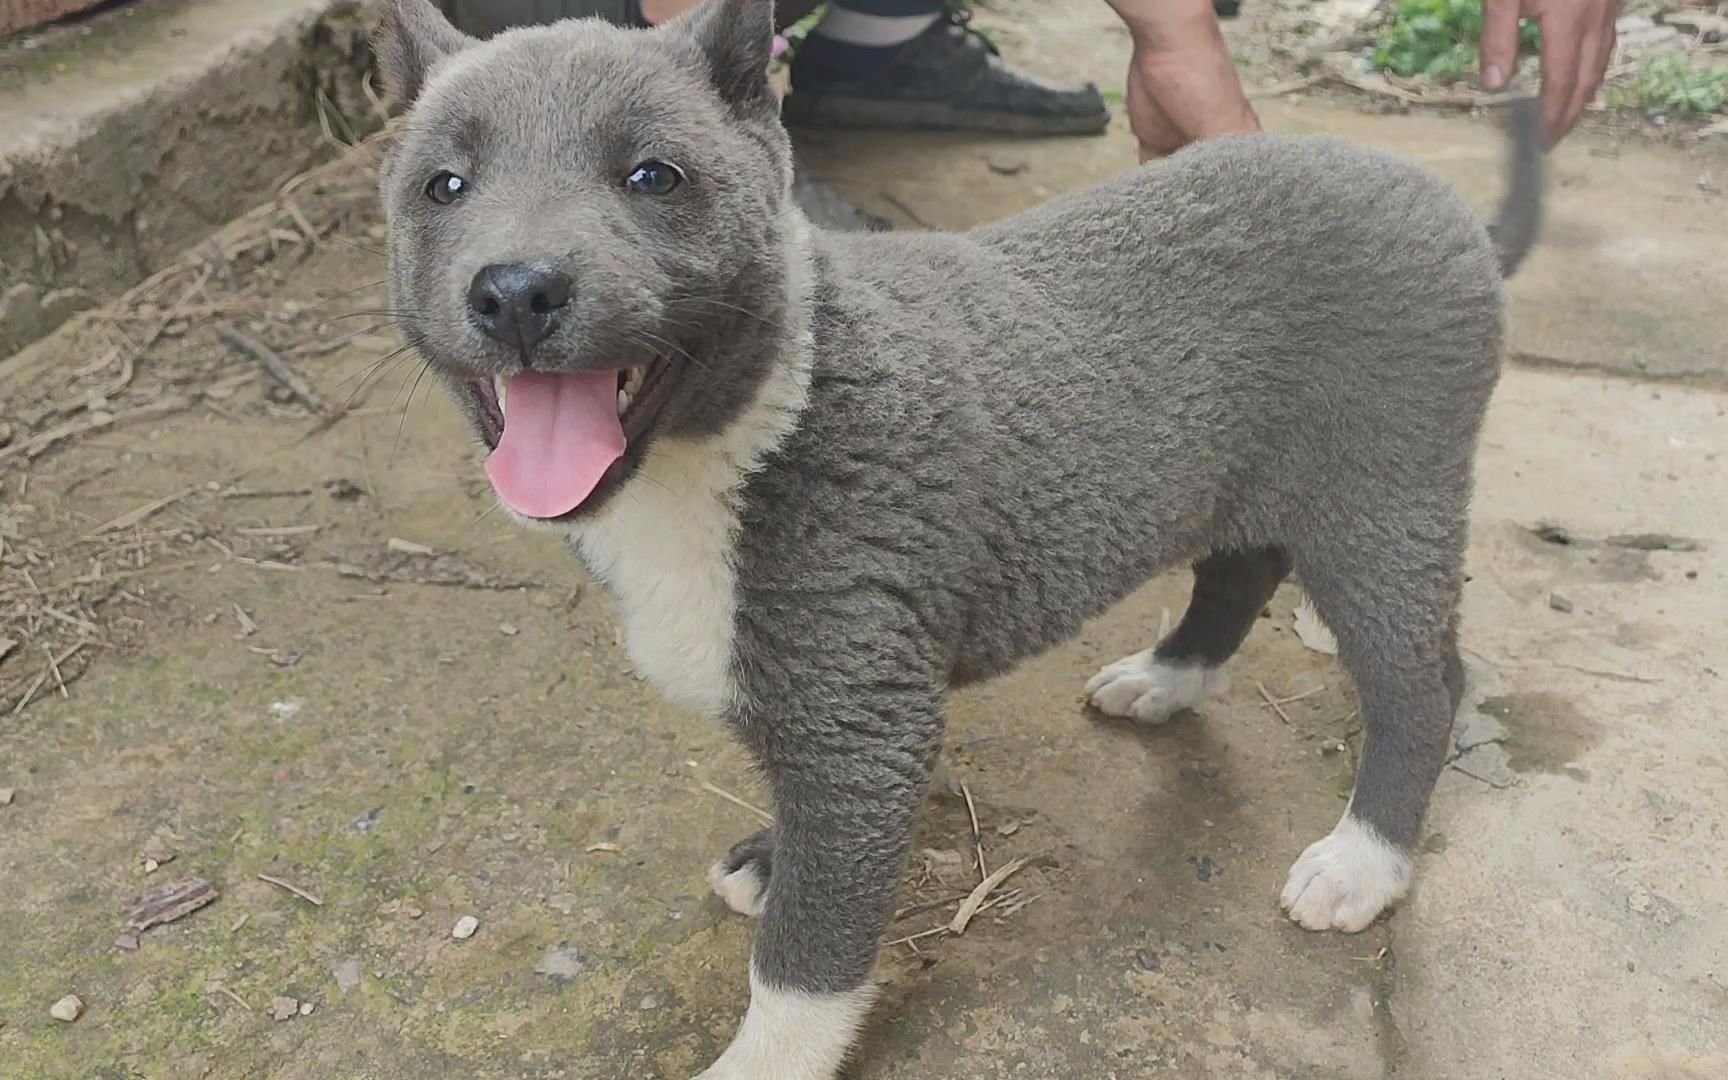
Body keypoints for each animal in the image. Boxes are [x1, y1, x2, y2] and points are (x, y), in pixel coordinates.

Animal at [374, 4, 1541, 1071]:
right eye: (445, 187)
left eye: (653, 176)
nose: (516, 292)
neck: (761, 418)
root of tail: (1444, 207)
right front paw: (773, 861)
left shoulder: (862, 712)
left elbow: (806, 962)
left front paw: (765, 1047)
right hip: (1250, 472)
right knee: (1243, 567)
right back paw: (1169, 677)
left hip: (1382, 487)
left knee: (1419, 681)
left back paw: (1362, 862)